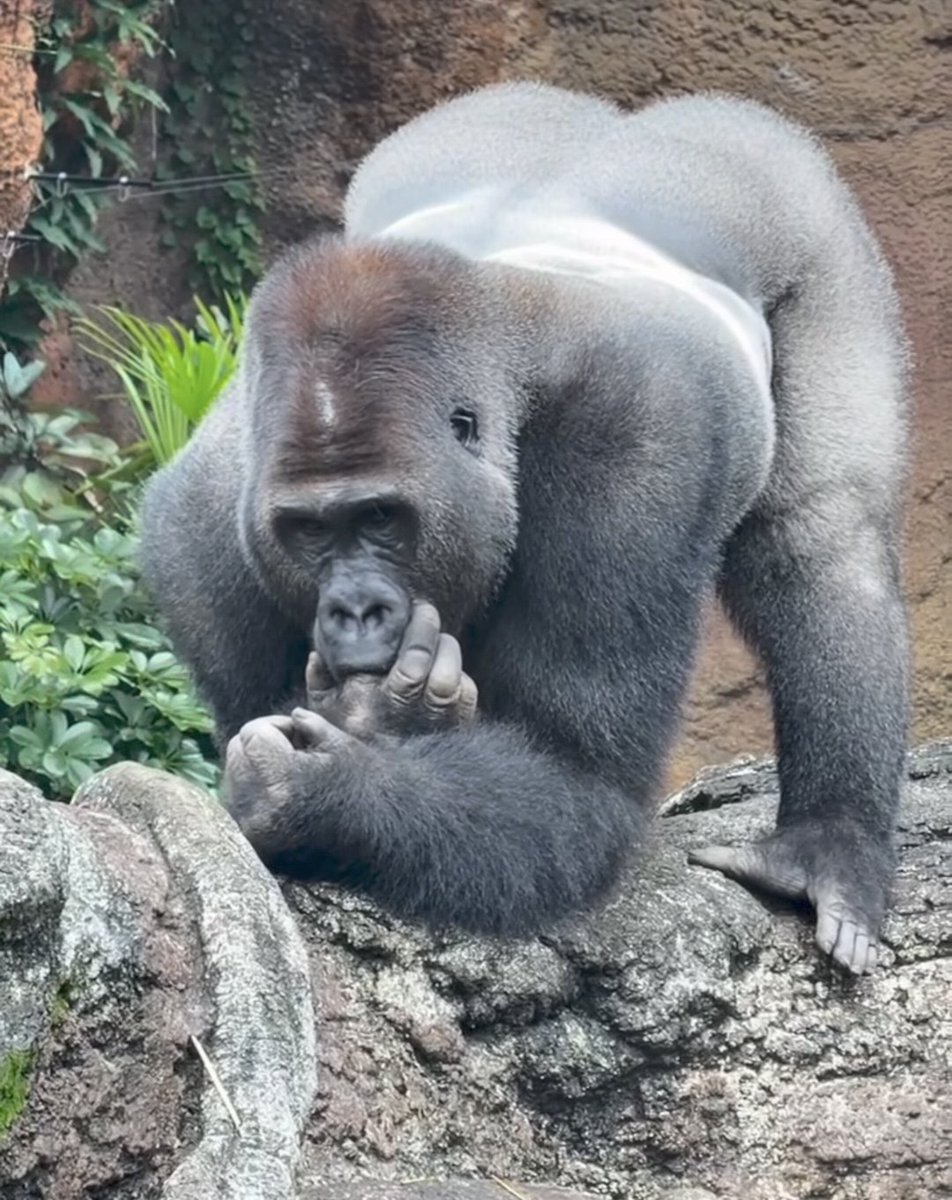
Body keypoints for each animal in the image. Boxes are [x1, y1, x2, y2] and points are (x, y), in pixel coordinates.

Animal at [140, 82, 910, 975]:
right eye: (307, 531)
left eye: (380, 517)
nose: (355, 611)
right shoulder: (197, 533)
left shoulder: (636, 441)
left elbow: (579, 776)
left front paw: (322, 789)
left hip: (787, 194)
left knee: (823, 534)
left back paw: (827, 842)